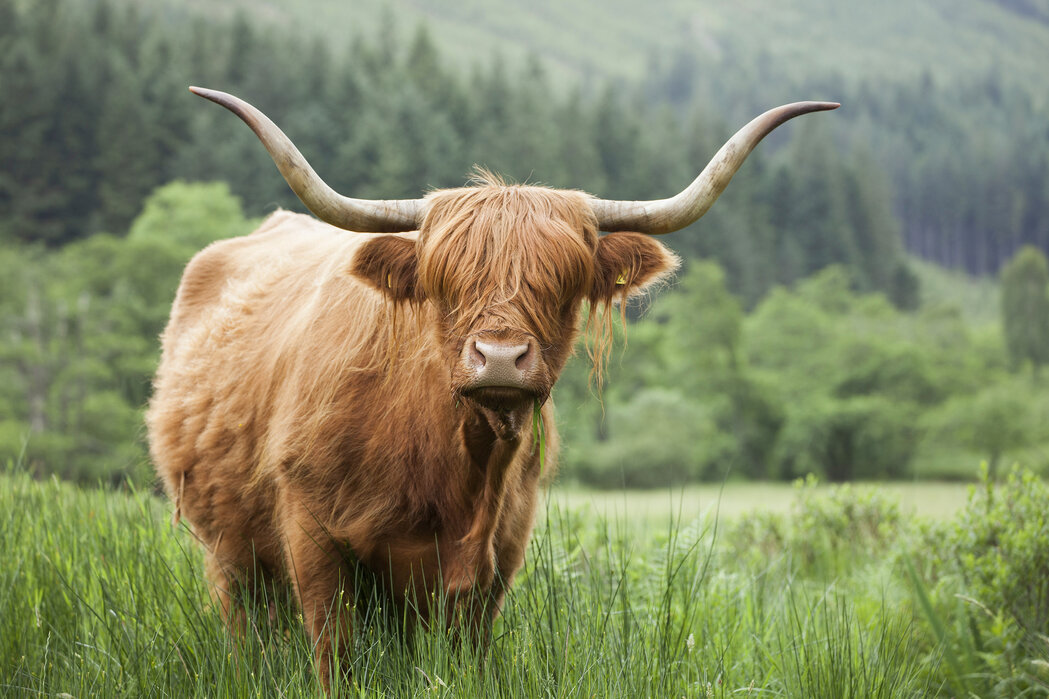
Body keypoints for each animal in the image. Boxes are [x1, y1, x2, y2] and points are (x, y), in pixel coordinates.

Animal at [146, 86, 837, 686]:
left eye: (563, 282)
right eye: (444, 281)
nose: (500, 358)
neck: (447, 460)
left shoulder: (495, 556)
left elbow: (463, 658)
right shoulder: (312, 534)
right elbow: (334, 655)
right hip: (228, 550)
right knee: (249, 626)